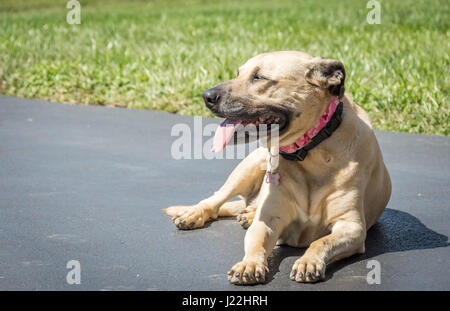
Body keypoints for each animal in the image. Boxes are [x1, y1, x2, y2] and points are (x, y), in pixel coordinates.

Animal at [164, 50, 390, 286]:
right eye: (238, 73)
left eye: (259, 77)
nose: (206, 96)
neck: (310, 152)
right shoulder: (268, 220)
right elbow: (256, 243)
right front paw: (249, 264)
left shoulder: (351, 227)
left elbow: (320, 242)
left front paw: (308, 261)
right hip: (247, 168)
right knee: (214, 200)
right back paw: (196, 213)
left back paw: (249, 213)